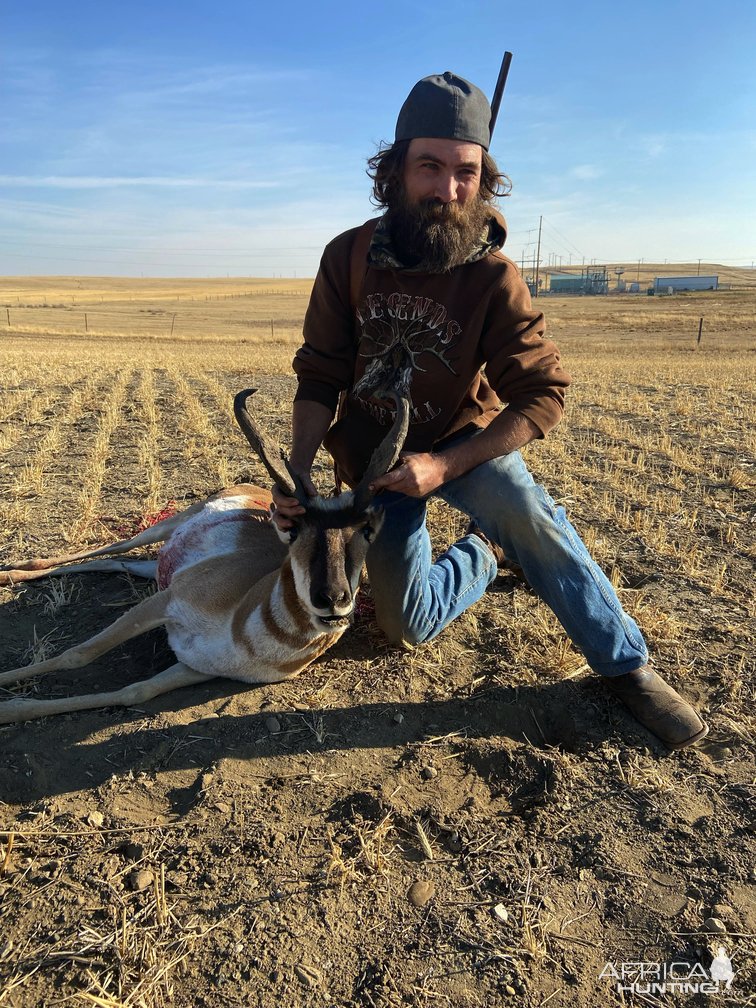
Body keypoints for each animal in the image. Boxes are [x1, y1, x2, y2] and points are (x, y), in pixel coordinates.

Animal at [0, 387, 411, 725]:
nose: (333, 599)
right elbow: (78, 654)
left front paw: (12, 710)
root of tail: (251, 488)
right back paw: (13, 571)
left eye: (367, 531)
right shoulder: (165, 601)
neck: (242, 626)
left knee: (115, 562)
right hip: (163, 529)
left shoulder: (194, 667)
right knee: (112, 549)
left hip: (157, 567)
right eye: (294, 531)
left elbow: (133, 692)